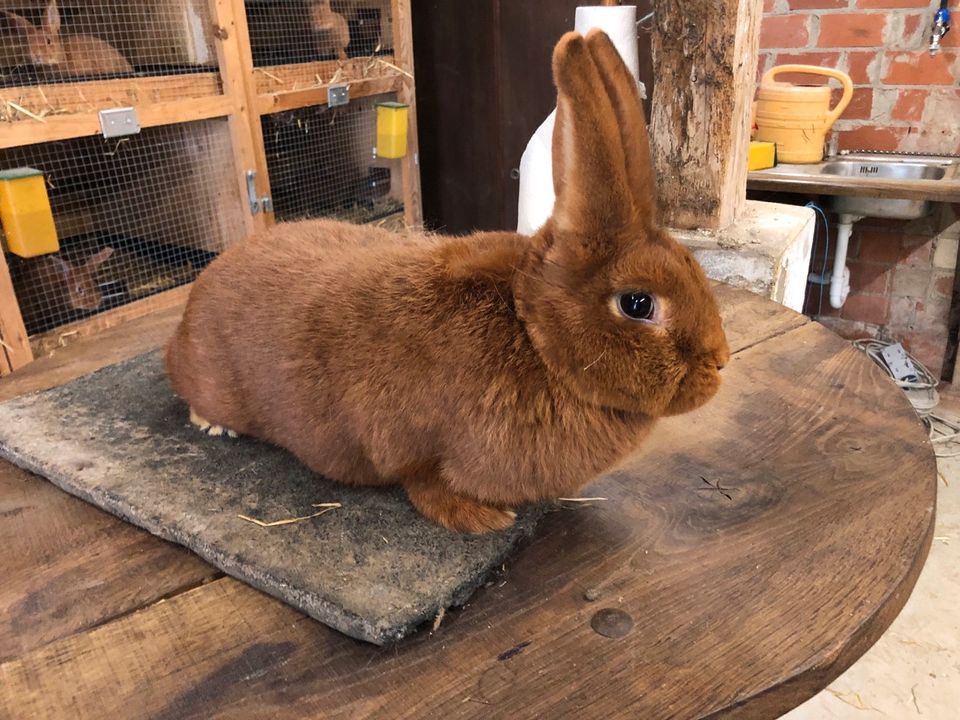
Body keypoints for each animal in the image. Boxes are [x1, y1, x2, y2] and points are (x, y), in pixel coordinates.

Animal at [169, 29, 732, 536]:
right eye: (638, 304)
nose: (720, 363)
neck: (532, 333)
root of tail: (190, 308)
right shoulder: (416, 448)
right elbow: (426, 485)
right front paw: (485, 519)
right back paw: (212, 423)